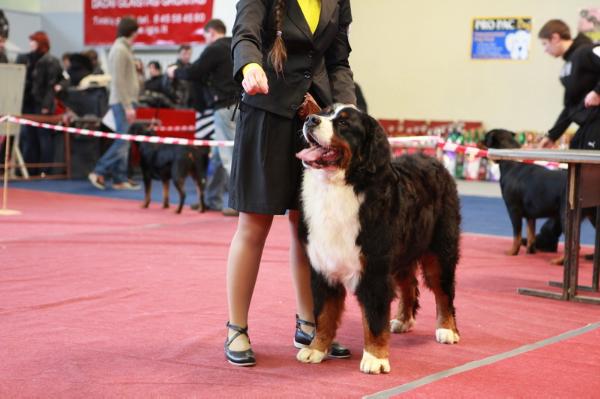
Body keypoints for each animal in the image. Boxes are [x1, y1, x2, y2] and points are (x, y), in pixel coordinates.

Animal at [296, 105, 460, 376]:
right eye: (326, 111)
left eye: (343, 123)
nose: (310, 119)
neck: (339, 187)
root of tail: (434, 160)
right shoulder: (323, 268)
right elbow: (324, 315)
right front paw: (316, 349)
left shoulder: (374, 270)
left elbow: (373, 318)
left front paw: (375, 358)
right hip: (402, 254)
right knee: (409, 284)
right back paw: (403, 320)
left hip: (440, 250)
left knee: (443, 291)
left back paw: (447, 329)